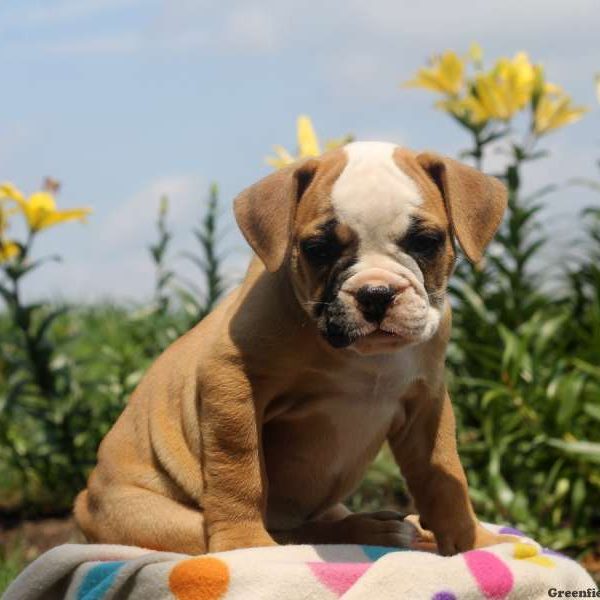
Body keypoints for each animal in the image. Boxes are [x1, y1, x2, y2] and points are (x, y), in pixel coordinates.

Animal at [75, 143, 512, 556]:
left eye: (426, 242)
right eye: (318, 248)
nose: (375, 292)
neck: (366, 359)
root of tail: (84, 502)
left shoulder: (427, 402)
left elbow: (444, 474)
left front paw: (473, 540)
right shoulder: (231, 380)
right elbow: (239, 467)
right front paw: (244, 543)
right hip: (158, 519)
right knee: (284, 534)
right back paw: (366, 530)